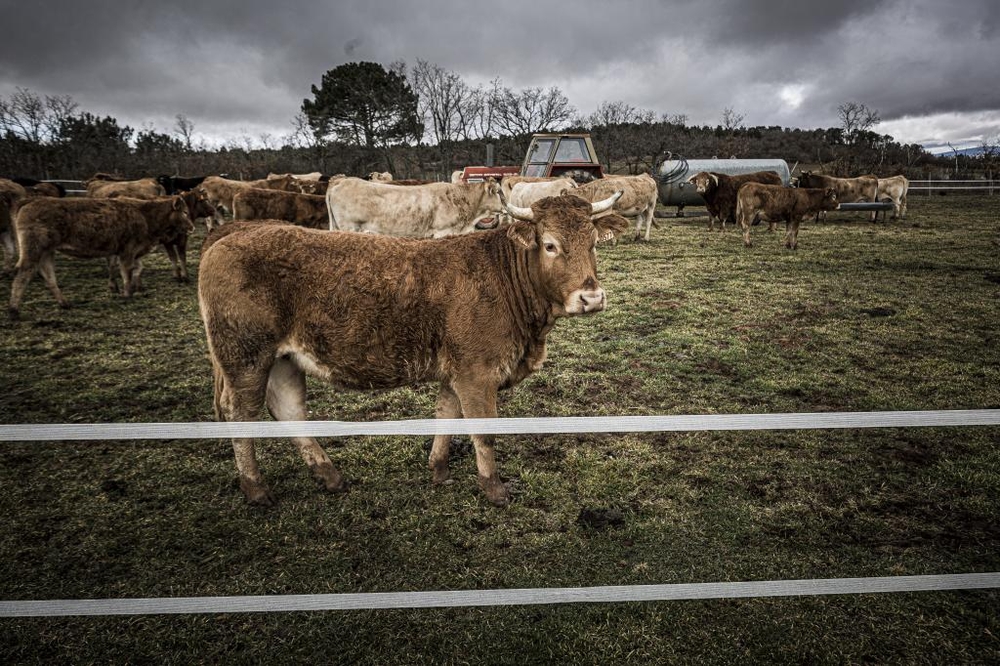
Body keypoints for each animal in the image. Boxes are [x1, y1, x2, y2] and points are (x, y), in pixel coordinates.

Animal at [8, 195, 193, 316]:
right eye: (184, 212)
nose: (192, 227)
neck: (145, 214)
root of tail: (29, 201)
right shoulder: (127, 251)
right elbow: (126, 272)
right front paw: (127, 294)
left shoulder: (131, 252)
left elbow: (137, 269)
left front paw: (133, 288)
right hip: (34, 250)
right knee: (24, 273)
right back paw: (14, 309)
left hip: (47, 252)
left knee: (48, 275)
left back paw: (65, 303)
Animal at [199, 189, 628, 506]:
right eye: (551, 245)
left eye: (593, 243)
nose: (591, 297)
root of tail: (232, 233)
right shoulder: (477, 372)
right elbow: (484, 430)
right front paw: (494, 489)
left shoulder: (457, 370)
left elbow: (446, 417)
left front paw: (438, 470)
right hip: (245, 356)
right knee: (241, 415)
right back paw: (256, 489)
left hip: (283, 359)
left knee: (288, 409)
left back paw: (329, 475)